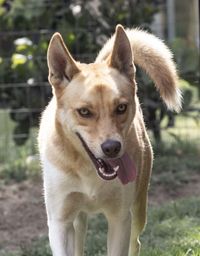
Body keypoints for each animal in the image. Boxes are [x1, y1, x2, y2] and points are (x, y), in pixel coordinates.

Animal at [38, 24, 182, 256]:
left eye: (121, 107)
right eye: (84, 112)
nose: (112, 148)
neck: (90, 172)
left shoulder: (120, 219)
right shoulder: (60, 221)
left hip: (138, 206)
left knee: (136, 241)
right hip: (77, 219)